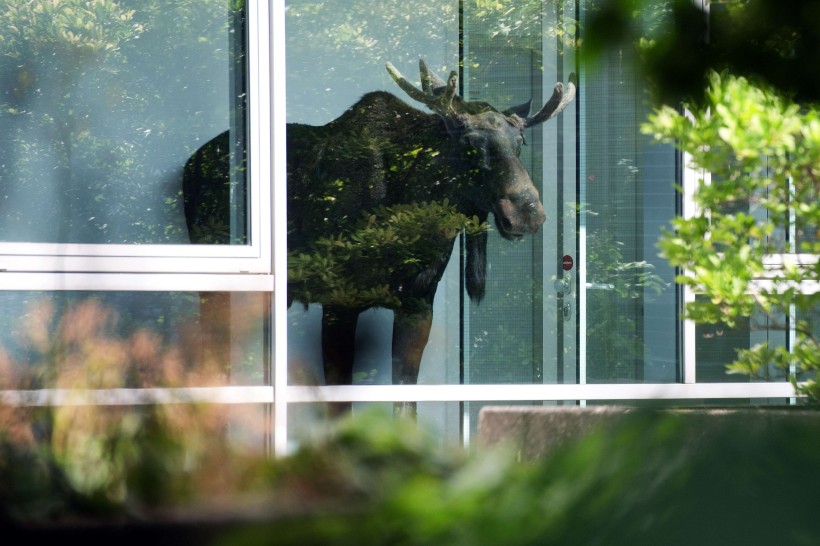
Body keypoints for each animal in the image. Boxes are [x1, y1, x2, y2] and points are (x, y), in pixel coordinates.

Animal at [183, 59, 572, 412]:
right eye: (469, 143)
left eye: (519, 141)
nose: (527, 213)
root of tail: (190, 165)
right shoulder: (339, 301)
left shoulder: (418, 304)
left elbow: (405, 404)